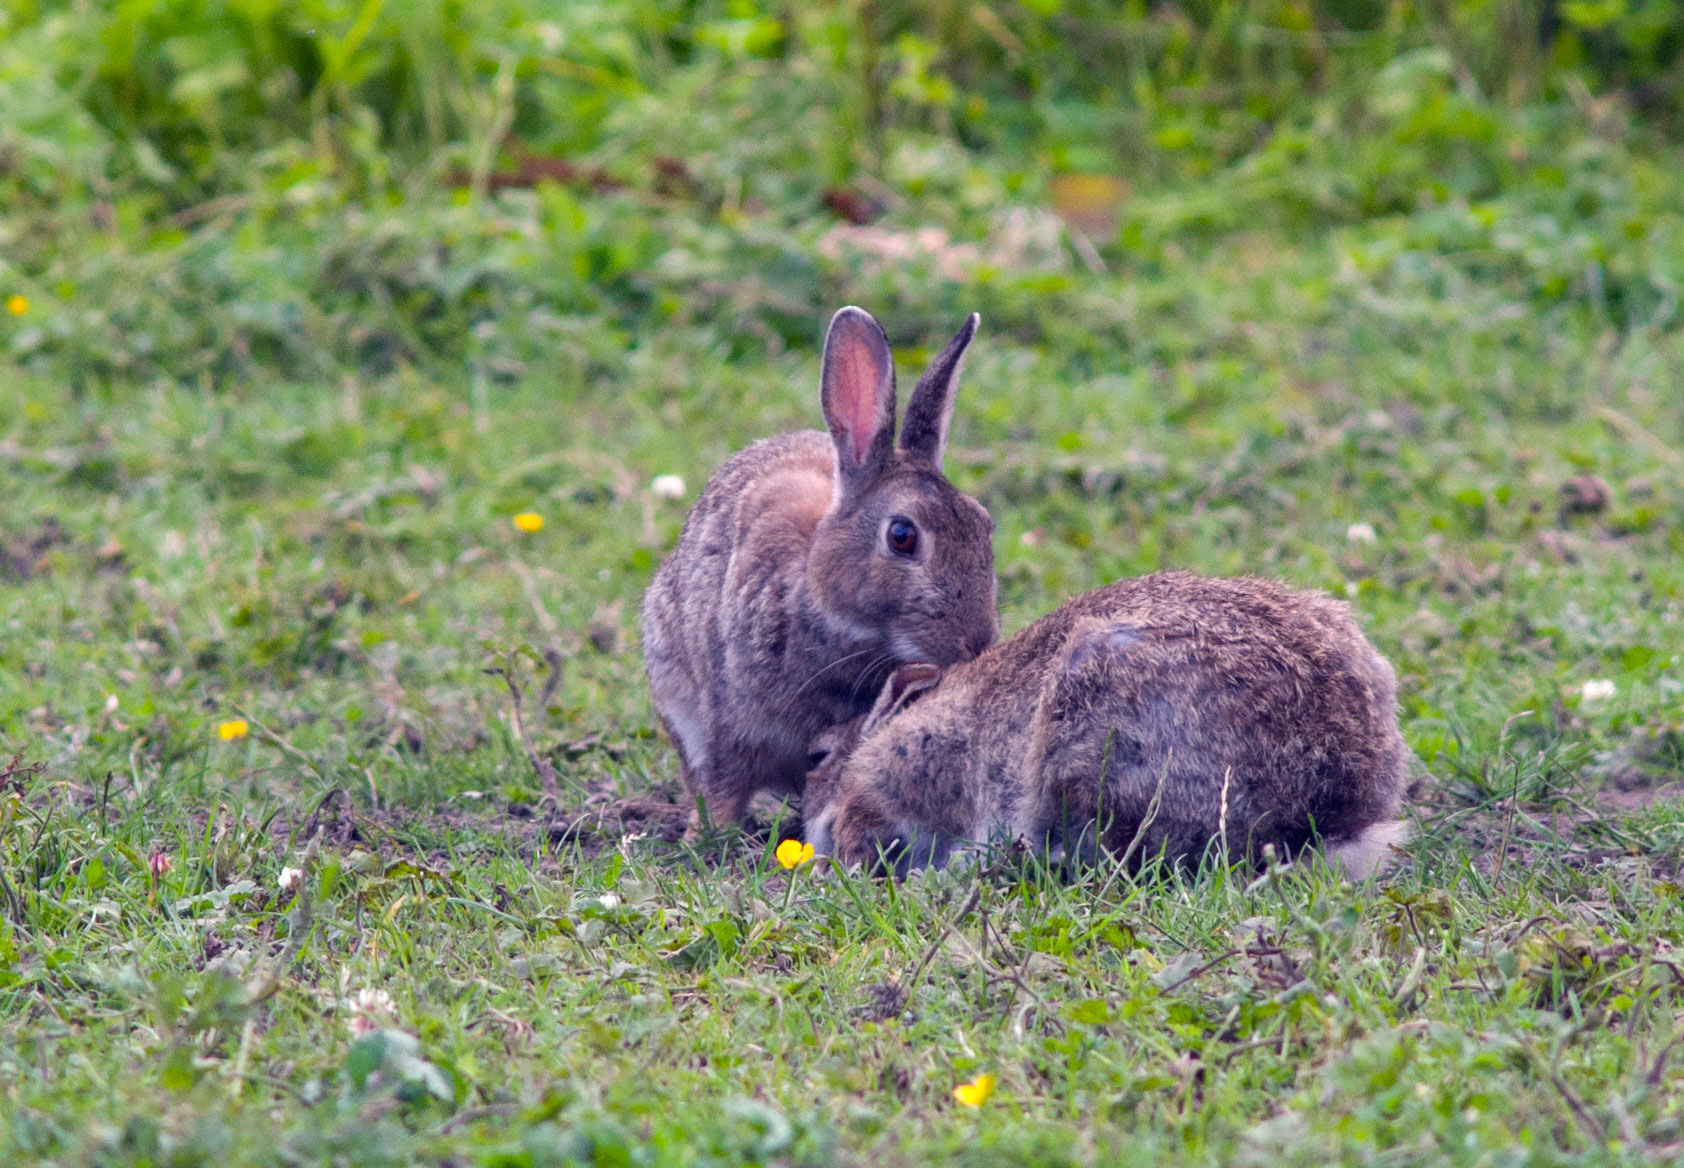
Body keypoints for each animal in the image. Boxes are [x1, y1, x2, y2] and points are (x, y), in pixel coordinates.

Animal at [636, 306, 990, 828]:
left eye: (984, 523)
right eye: (902, 536)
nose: (977, 643)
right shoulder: (731, 722)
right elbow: (723, 781)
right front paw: (710, 832)